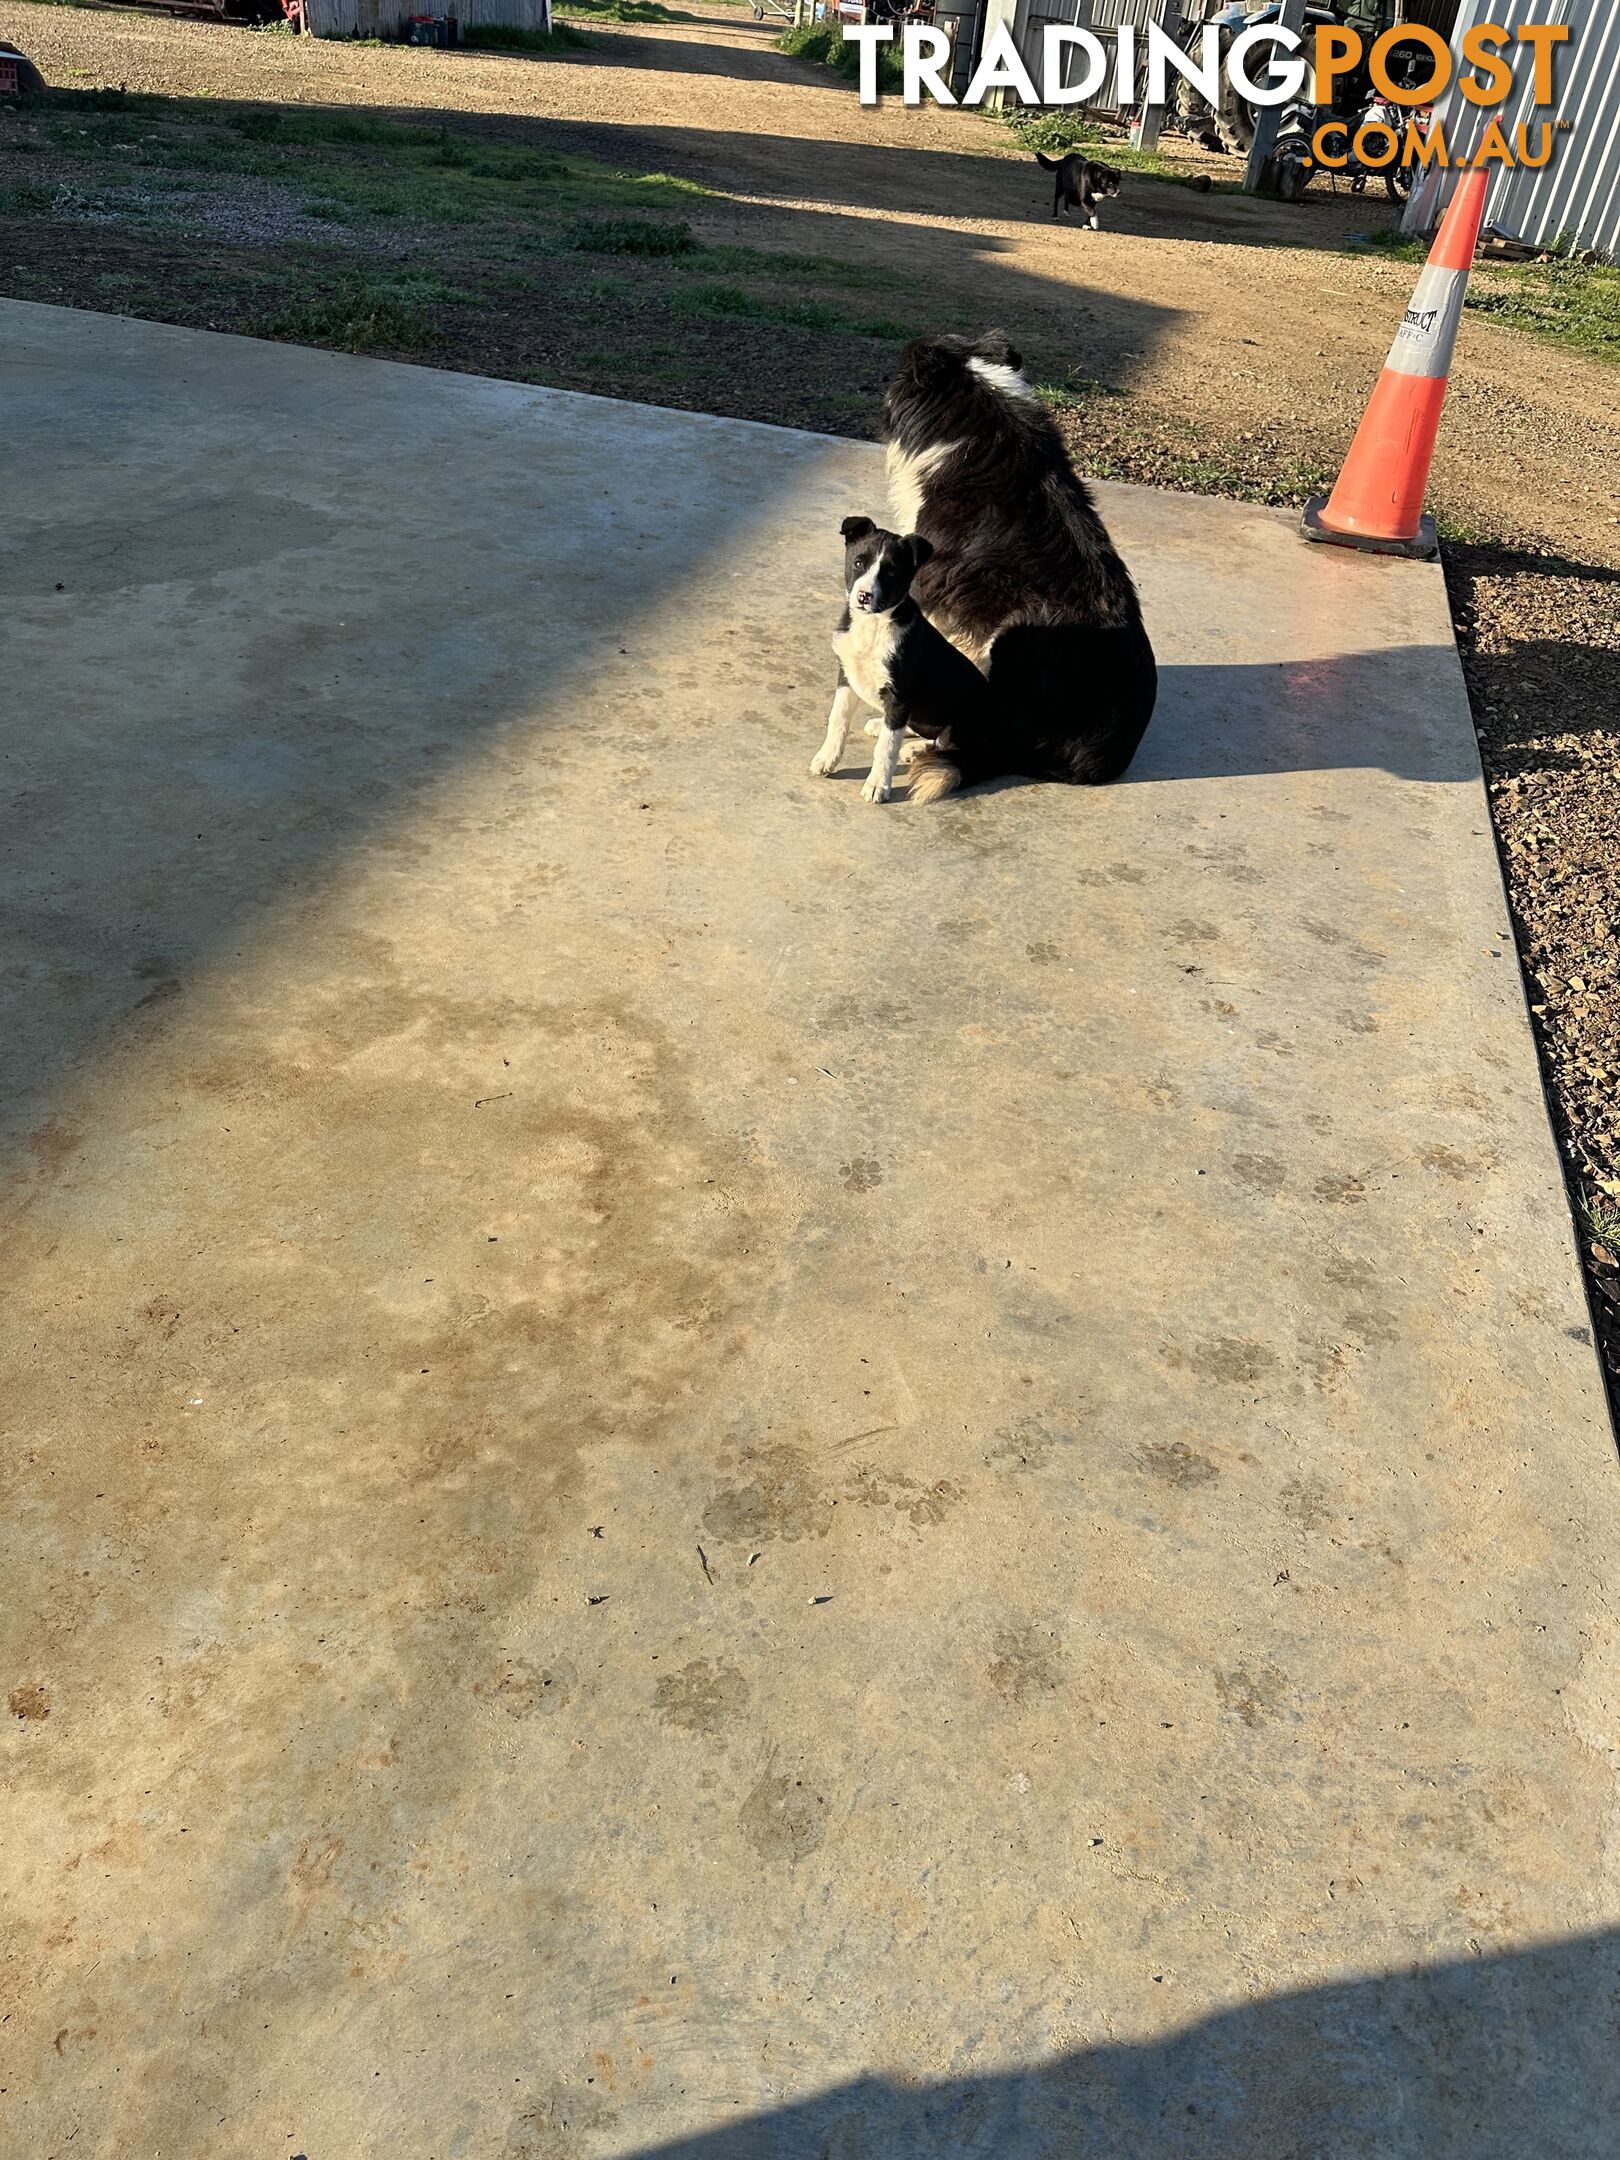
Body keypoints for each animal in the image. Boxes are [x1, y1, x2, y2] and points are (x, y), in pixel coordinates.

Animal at [812, 518, 989, 807]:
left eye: (892, 573)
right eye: (858, 563)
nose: (863, 596)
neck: (873, 626)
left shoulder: (900, 695)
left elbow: (887, 748)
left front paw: (877, 785)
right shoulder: (847, 675)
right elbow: (838, 719)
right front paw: (826, 758)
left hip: (962, 724)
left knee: (948, 748)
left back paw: (917, 750)